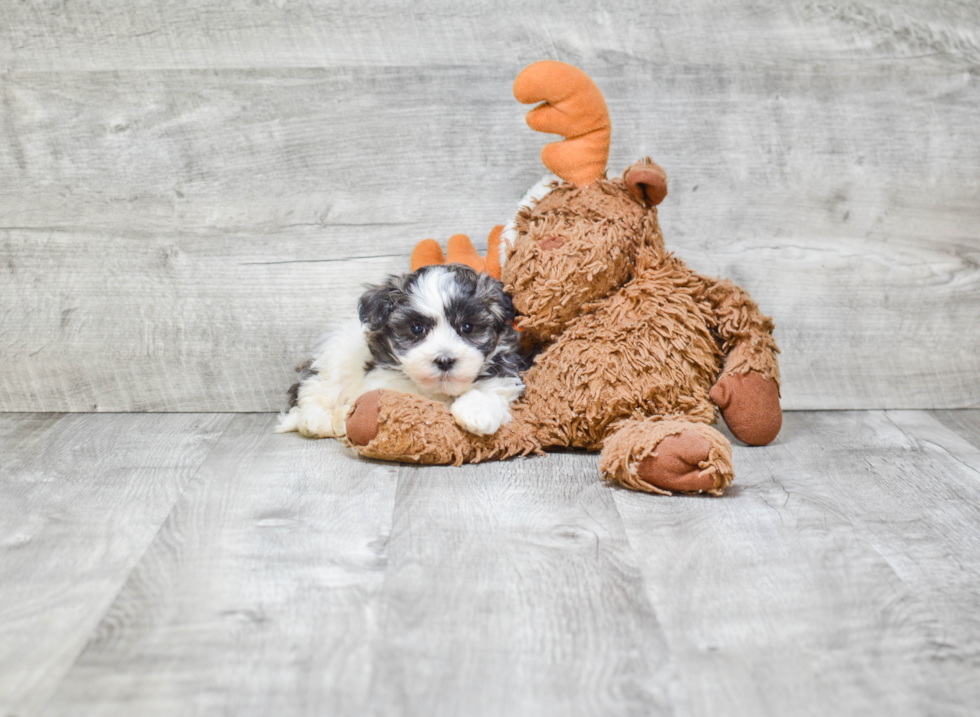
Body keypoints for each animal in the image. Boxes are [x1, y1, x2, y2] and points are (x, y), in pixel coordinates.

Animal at [276, 264, 528, 440]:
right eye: (416, 328)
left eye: (467, 327)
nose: (444, 360)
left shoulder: (504, 370)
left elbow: (492, 389)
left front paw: (477, 412)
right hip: (332, 361)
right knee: (314, 392)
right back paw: (315, 420)